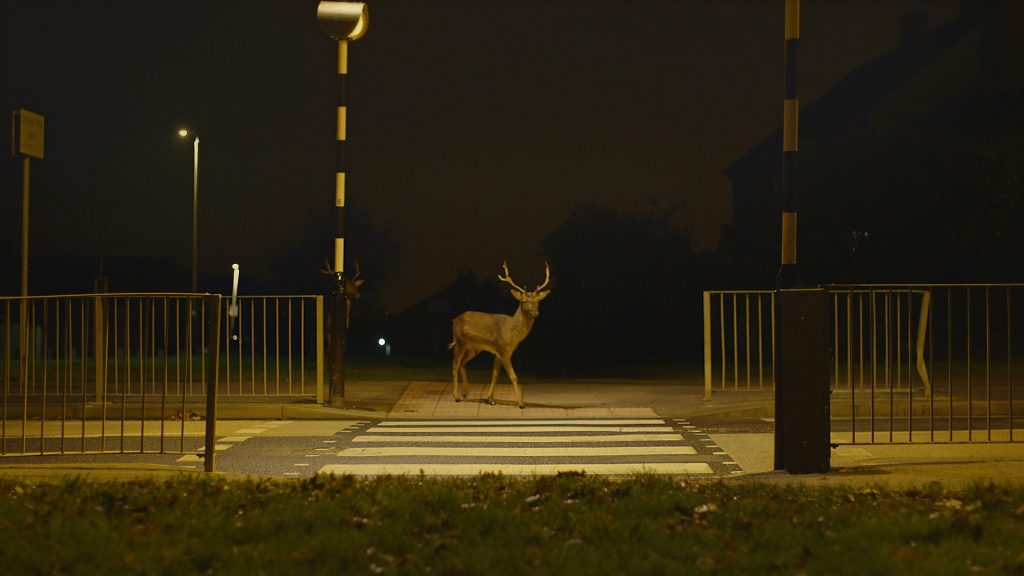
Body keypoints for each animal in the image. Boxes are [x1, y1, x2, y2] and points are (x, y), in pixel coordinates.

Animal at [449, 261, 551, 409]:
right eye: (524, 301)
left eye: (538, 301)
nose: (536, 312)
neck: (513, 334)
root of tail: (454, 320)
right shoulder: (503, 350)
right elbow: (513, 376)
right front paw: (521, 403)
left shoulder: (502, 351)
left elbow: (495, 374)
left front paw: (490, 399)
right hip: (459, 341)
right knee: (455, 365)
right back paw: (456, 396)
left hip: (474, 348)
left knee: (462, 363)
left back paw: (465, 393)